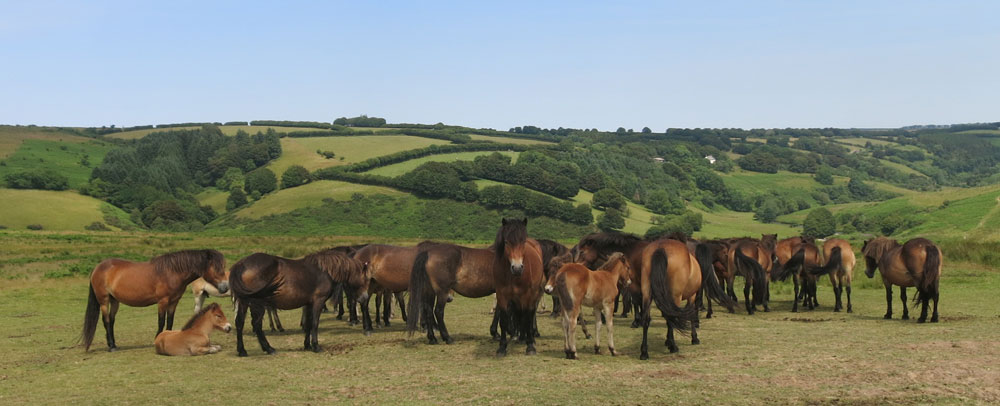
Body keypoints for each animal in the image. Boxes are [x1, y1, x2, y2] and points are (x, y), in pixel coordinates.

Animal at [80, 249, 229, 350]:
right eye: (216, 268)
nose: (225, 287)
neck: (172, 272)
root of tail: (98, 267)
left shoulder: (174, 302)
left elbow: (170, 321)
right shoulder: (163, 301)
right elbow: (161, 321)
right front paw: (157, 339)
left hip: (114, 300)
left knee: (111, 321)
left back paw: (114, 344)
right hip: (104, 301)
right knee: (106, 321)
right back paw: (111, 346)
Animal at [230, 247, 372, 356]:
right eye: (366, 278)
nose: (364, 298)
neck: (325, 270)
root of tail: (241, 264)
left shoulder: (308, 304)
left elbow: (308, 324)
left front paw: (307, 345)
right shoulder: (318, 302)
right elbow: (314, 323)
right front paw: (316, 347)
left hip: (244, 302)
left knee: (239, 323)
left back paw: (242, 351)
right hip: (257, 304)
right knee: (256, 325)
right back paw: (269, 349)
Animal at [408, 217, 548, 356]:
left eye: (523, 242)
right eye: (507, 242)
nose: (518, 267)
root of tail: (429, 252)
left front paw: (502, 333)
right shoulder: (501, 292)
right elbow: (501, 312)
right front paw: (503, 334)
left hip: (430, 291)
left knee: (428, 310)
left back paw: (432, 338)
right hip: (442, 291)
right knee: (438, 311)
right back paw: (447, 338)